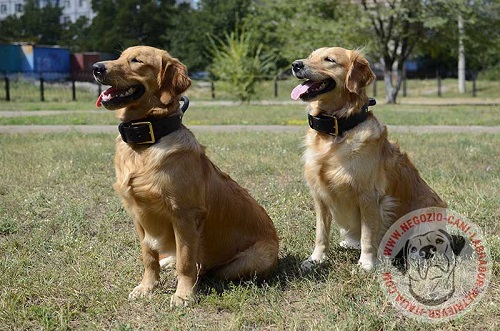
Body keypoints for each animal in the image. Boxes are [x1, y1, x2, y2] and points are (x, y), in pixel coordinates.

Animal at [92, 45, 280, 308]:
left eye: (136, 60)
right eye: (119, 56)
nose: (96, 68)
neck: (147, 142)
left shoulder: (184, 215)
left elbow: (186, 261)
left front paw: (183, 294)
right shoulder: (137, 214)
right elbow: (148, 256)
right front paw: (147, 287)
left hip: (252, 259)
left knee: (209, 267)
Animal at [292, 47, 448, 272]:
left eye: (329, 60)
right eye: (310, 56)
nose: (296, 65)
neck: (337, 130)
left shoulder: (368, 196)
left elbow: (368, 235)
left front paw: (366, 263)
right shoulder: (319, 195)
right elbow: (321, 234)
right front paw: (316, 259)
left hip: (425, 211)